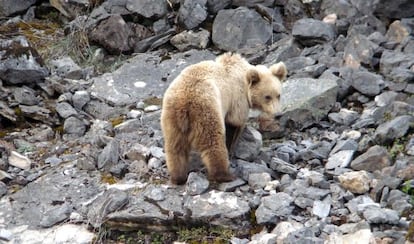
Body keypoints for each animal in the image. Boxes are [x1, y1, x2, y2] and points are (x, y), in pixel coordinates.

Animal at [160, 52, 286, 184]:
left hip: (171, 117)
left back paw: (178, 176)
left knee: (175, 147)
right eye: (267, 97)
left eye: (278, 95)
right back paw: (224, 175)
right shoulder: (237, 98)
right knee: (213, 141)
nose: (278, 114)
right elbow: (234, 123)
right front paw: (231, 150)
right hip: (206, 109)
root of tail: (184, 102)